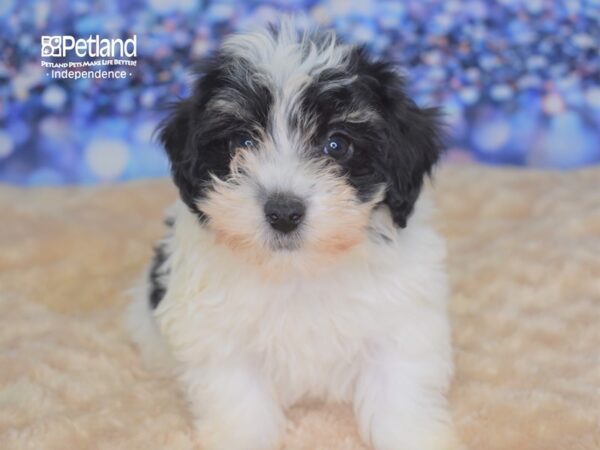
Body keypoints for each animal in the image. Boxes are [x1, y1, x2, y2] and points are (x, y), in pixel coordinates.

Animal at [125, 19, 460, 448]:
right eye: (242, 141)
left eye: (336, 144)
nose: (283, 212)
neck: (299, 269)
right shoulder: (220, 339)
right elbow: (239, 403)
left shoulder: (399, 323)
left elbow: (400, 395)